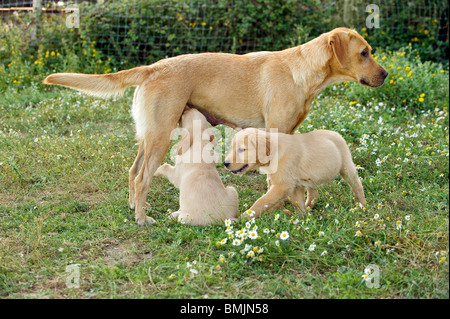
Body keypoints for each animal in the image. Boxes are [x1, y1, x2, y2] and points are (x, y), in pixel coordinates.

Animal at [223, 128, 368, 220]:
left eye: (241, 149)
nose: (225, 163)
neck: (274, 152)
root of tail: (337, 133)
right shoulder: (295, 185)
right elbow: (297, 202)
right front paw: (301, 219)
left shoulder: (283, 185)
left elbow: (262, 201)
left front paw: (244, 216)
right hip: (310, 179)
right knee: (314, 194)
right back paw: (309, 208)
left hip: (346, 166)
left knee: (357, 186)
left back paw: (364, 206)